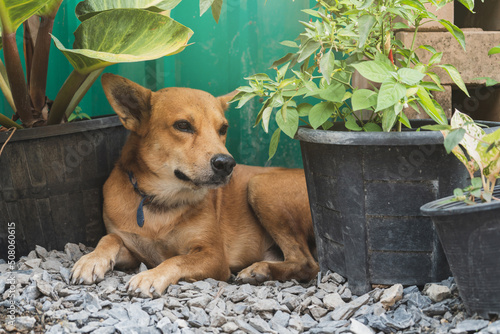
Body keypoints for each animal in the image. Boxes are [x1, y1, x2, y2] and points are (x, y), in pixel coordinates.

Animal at [71, 73, 316, 298]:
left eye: (223, 129)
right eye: (183, 125)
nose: (227, 164)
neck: (162, 200)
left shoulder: (214, 256)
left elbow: (177, 260)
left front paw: (150, 276)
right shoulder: (134, 251)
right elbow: (109, 238)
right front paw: (91, 260)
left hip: (260, 185)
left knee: (307, 263)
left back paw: (261, 270)